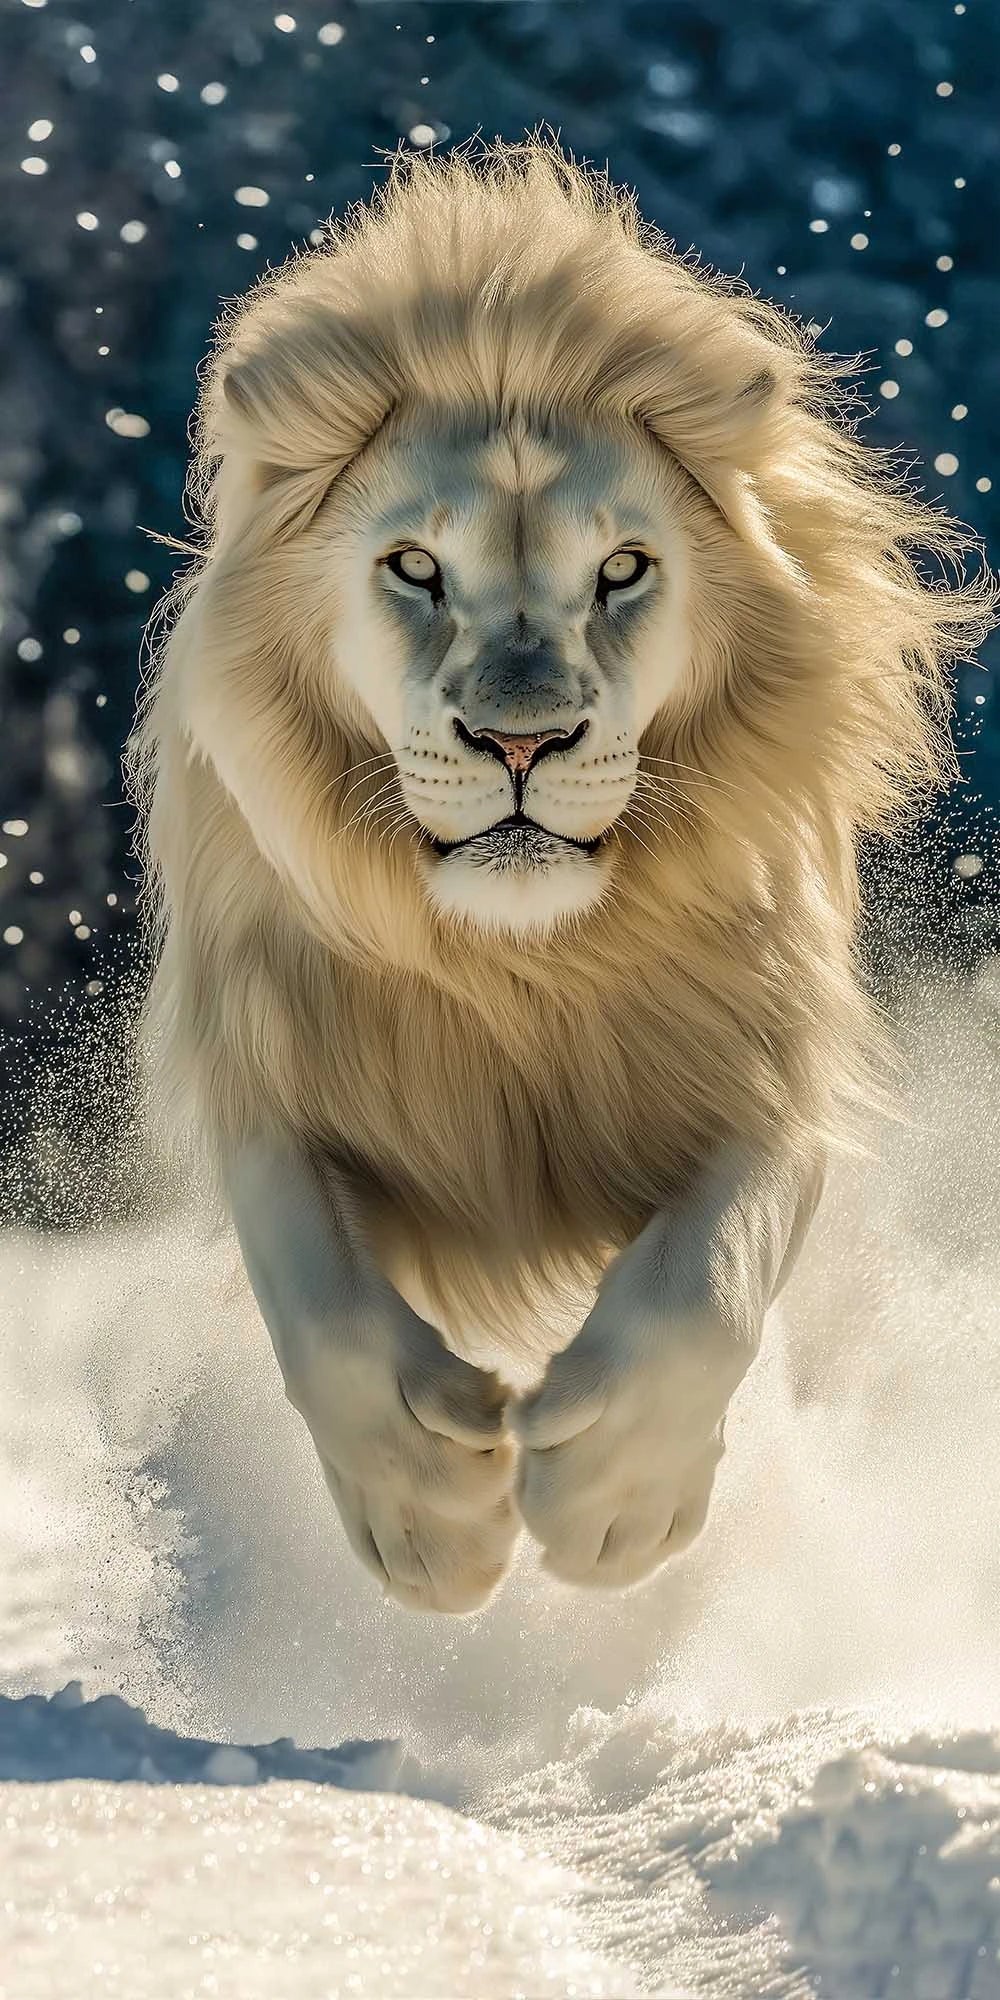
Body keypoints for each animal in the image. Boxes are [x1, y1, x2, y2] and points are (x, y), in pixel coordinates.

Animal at [130, 138, 992, 1614]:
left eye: (625, 568)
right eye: (415, 565)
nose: (523, 740)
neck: (526, 965)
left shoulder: (774, 1061)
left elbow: (706, 1280)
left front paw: (606, 1510)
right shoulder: (265, 1062)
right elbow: (322, 1299)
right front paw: (437, 1530)